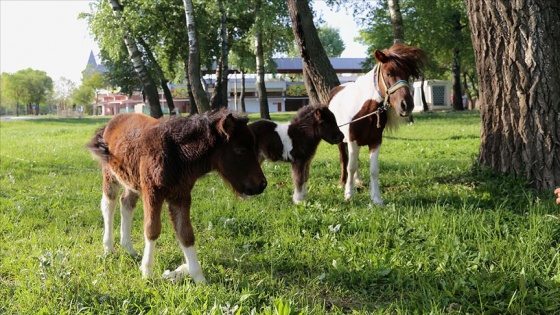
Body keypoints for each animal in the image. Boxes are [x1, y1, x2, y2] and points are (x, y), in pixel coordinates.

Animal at [88, 110, 268, 282]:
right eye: (240, 150)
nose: (262, 184)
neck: (177, 155)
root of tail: (111, 122)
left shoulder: (181, 195)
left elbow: (186, 233)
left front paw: (199, 278)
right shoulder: (152, 192)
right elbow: (152, 229)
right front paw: (147, 272)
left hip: (131, 180)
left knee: (126, 204)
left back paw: (128, 248)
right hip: (110, 175)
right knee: (108, 205)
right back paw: (109, 248)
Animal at [328, 43, 424, 205]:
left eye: (408, 74)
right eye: (389, 73)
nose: (407, 105)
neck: (366, 112)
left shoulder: (375, 142)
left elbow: (373, 169)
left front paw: (376, 199)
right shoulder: (352, 140)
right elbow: (350, 166)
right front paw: (349, 194)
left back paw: (358, 182)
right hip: (341, 140)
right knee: (344, 160)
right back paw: (342, 183)